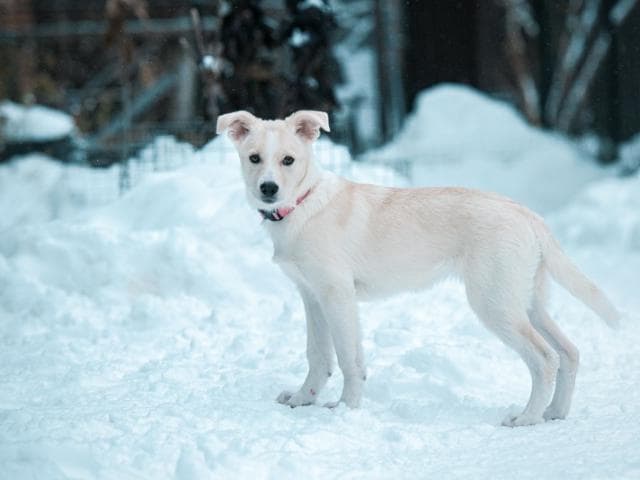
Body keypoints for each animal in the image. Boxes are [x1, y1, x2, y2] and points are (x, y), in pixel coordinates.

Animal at [216, 109, 620, 428]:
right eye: (254, 158)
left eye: (288, 160)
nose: (268, 189)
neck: (303, 204)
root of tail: (528, 214)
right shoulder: (312, 297)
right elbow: (318, 356)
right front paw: (305, 399)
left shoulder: (337, 296)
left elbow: (348, 359)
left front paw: (346, 408)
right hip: (528, 302)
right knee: (569, 352)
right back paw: (555, 412)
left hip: (495, 304)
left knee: (545, 358)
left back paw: (527, 418)